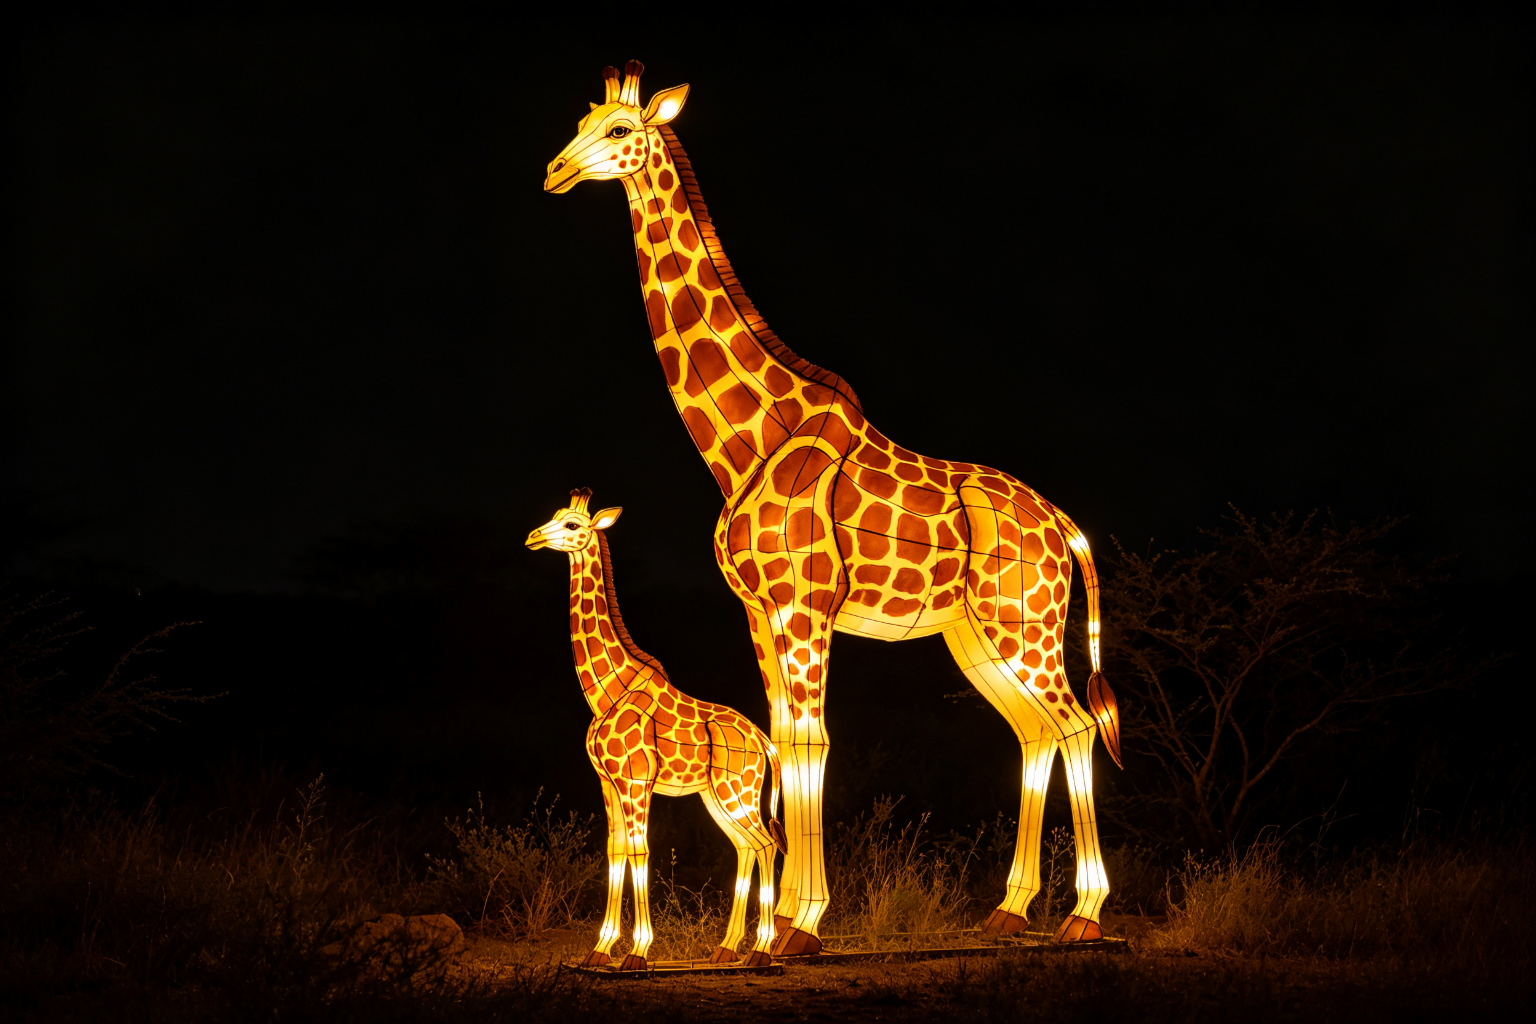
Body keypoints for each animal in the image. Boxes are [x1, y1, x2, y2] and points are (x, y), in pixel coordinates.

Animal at [527, 488, 787, 970]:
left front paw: (637, 953)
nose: (534, 536)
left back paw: (760, 952)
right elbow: (615, 852)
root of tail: (764, 741)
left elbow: (640, 851)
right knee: (746, 846)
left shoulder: (636, 780)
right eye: (554, 515)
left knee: (763, 844)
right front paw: (599, 951)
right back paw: (726, 950)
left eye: (572, 525)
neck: (606, 690)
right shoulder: (608, 782)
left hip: (736, 792)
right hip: (717, 796)